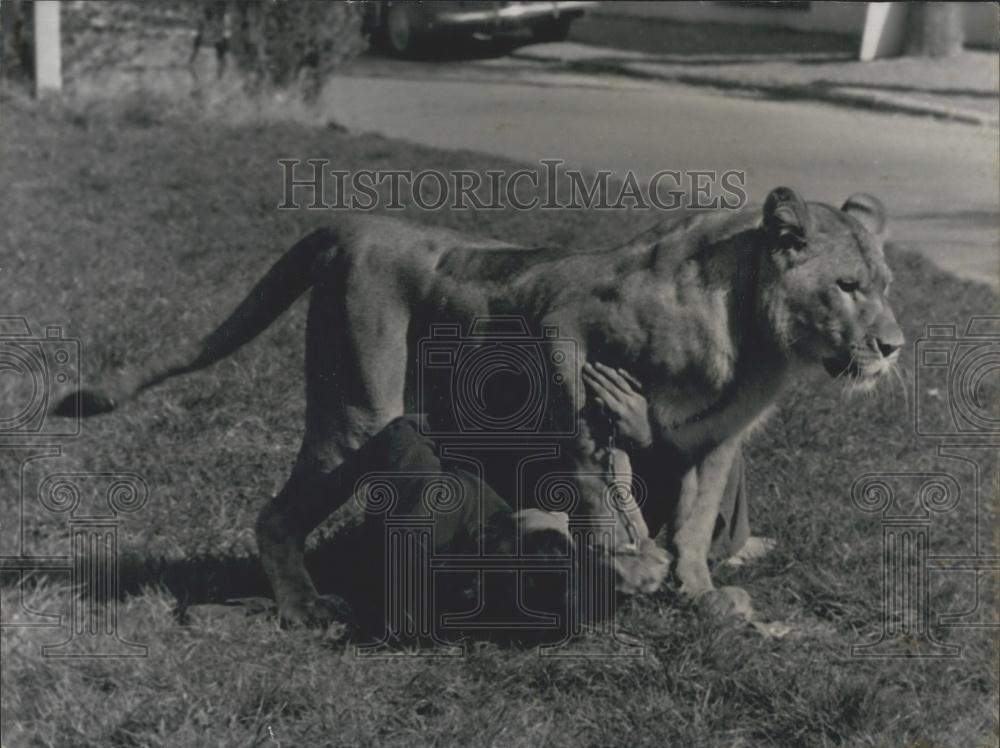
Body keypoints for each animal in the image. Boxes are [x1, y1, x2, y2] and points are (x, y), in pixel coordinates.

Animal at [55, 186, 903, 626]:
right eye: (847, 287)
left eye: (887, 285)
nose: (893, 346)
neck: (755, 341)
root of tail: (353, 223)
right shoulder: (565, 325)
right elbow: (595, 464)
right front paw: (631, 558)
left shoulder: (720, 441)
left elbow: (694, 521)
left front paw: (698, 591)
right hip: (354, 417)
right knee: (276, 514)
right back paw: (304, 607)